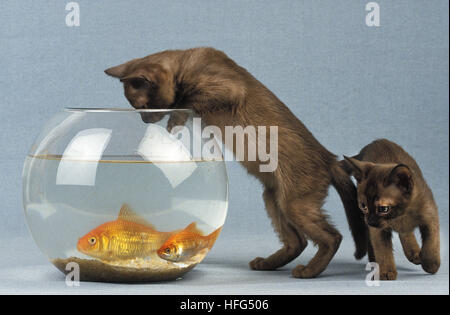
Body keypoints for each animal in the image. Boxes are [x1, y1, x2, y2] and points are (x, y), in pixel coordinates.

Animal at [103, 46, 368, 278]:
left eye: (144, 107)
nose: (145, 120)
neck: (188, 63)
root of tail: (330, 158)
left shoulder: (226, 89)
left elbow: (185, 99)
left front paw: (175, 121)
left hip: (294, 203)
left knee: (332, 237)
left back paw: (308, 272)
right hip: (273, 198)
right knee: (298, 242)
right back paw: (266, 264)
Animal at [342, 139, 442, 280]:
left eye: (383, 208)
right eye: (363, 206)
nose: (370, 221)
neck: (401, 216)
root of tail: (375, 141)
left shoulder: (430, 217)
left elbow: (431, 243)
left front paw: (431, 264)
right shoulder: (378, 230)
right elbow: (383, 250)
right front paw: (386, 272)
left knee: (407, 233)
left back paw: (415, 253)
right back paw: (374, 261)